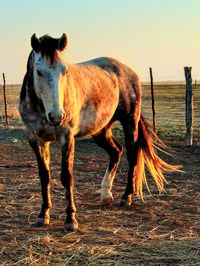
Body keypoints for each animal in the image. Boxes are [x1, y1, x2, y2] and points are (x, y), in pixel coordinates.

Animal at [19, 34, 180, 232]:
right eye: (39, 72)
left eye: (65, 71)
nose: (57, 116)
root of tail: (127, 70)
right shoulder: (36, 139)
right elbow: (44, 177)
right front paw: (43, 215)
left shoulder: (66, 137)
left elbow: (67, 177)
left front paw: (71, 219)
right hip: (101, 130)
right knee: (116, 151)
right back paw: (106, 194)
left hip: (129, 122)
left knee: (131, 154)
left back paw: (126, 197)